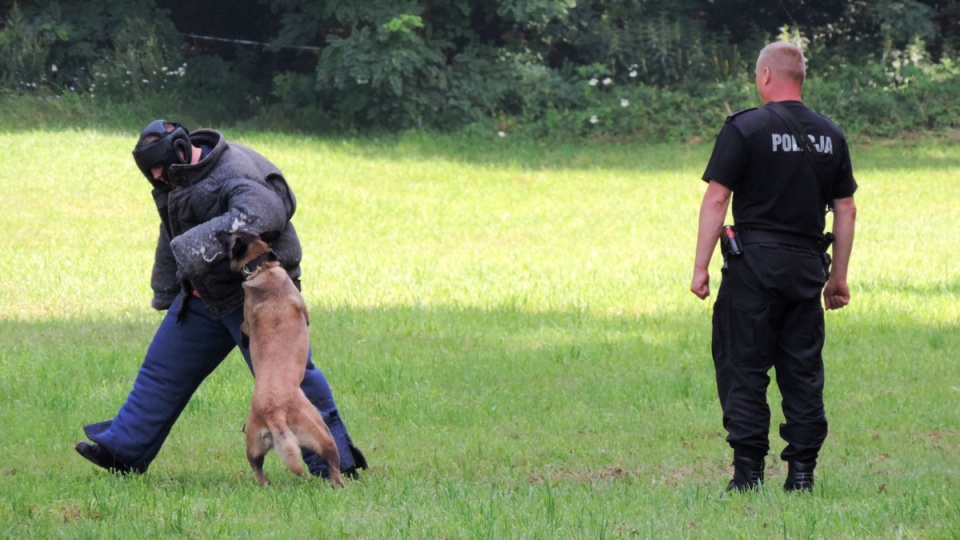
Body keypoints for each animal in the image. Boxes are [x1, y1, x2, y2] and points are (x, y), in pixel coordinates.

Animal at [230, 233, 344, 490]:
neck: (262, 268)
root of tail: (274, 413)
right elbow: (244, 326)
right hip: (323, 434)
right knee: (334, 467)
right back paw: (340, 485)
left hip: (254, 445)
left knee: (257, 468)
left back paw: (265, 485)